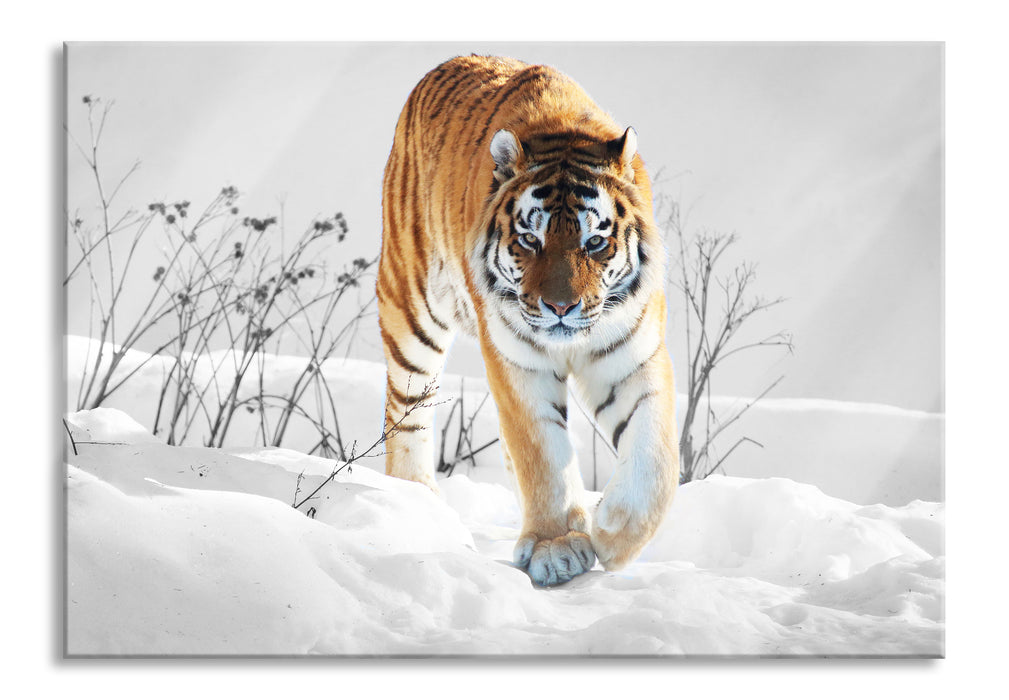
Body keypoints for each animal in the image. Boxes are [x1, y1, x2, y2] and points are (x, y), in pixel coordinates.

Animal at [377, 55, 679, 586]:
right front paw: (556, 547)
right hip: (411, 309)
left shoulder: (632, 356)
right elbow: (542, 451)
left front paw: (614, 532)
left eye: (594, 243)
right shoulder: (517, 361)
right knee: (407, 410)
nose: (560, 307)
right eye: (529, 241)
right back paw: (418, 502)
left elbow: (655, 454)